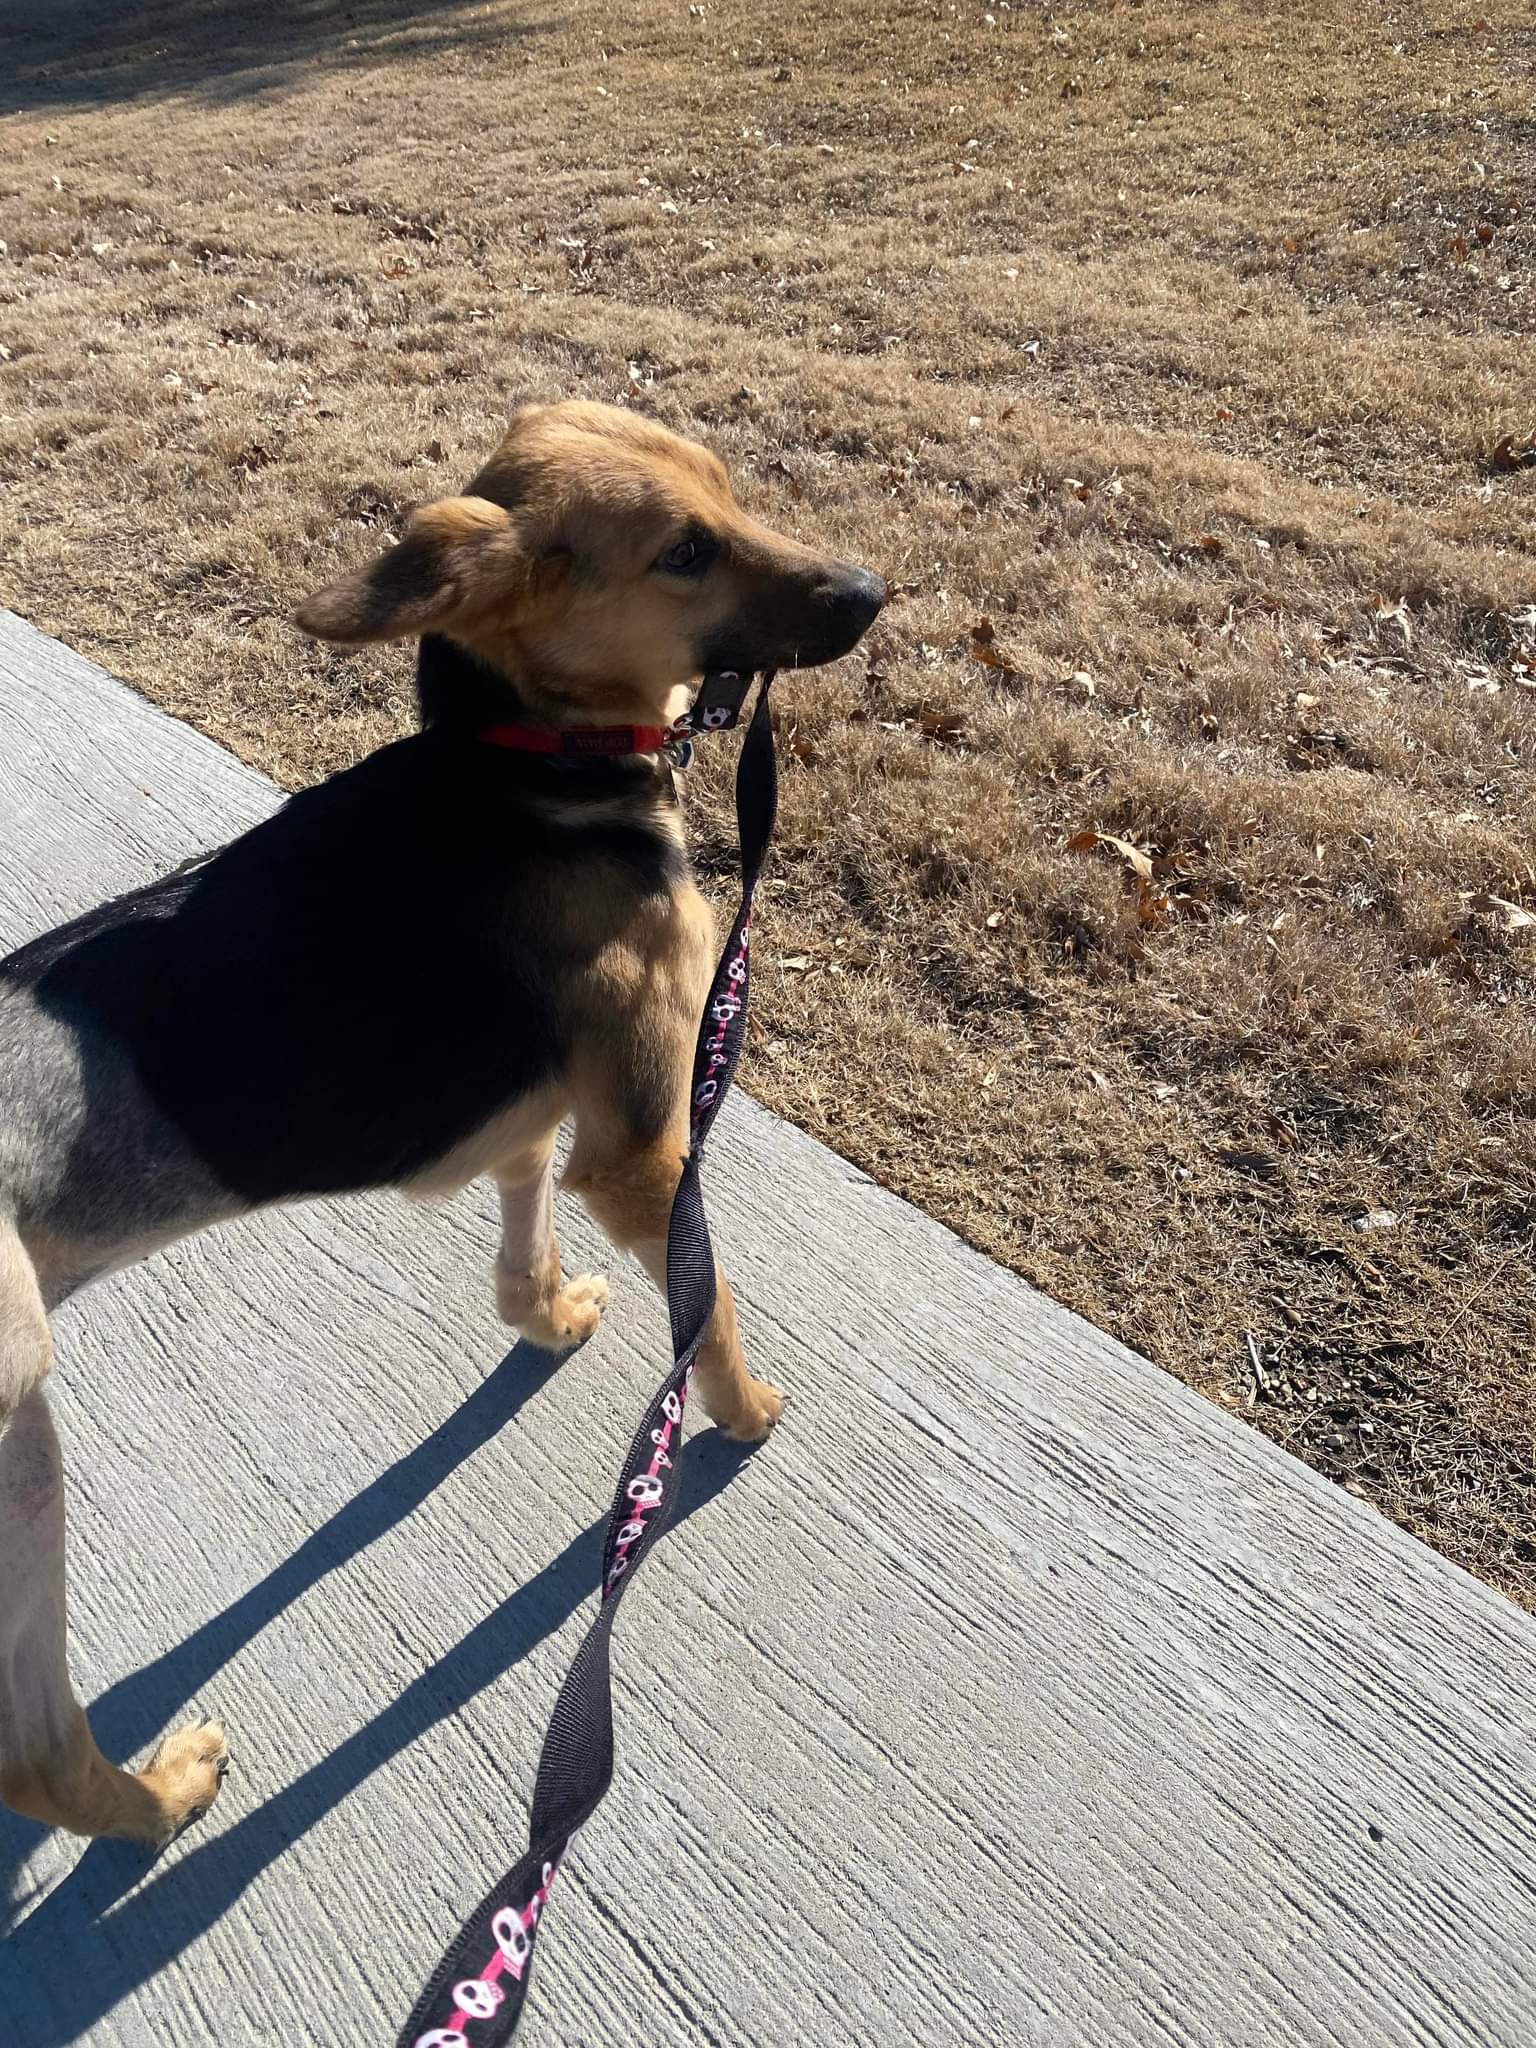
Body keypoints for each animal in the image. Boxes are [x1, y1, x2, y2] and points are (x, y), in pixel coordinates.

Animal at [0, 403, 884, 1859]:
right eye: (686, 552)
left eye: (729, 487)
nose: (870, 589)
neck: (527, 768)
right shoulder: (645, 1155)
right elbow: (707, 1303)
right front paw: (741, 1415)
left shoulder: (547, 1119)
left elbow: (523, 1231)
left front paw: (545, 1315)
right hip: (21, 1448)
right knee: (36, 1754)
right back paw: (166, 1795)